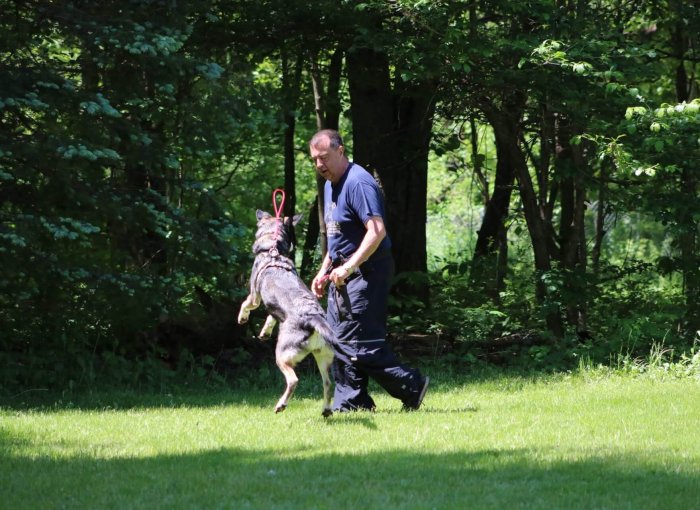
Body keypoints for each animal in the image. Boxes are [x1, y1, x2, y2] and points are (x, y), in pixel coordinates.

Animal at [237, 209, 344, 416]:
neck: (273, 250)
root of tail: (313, 317)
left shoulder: (255, 297)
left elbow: (245, 304)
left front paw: (242, 317)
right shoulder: (272, 307)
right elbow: (271, 317)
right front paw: (265, 332)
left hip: (282, 355)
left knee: (293, 380)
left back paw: (281, 405)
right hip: (323, 357)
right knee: (328, 384)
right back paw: (326, 410)